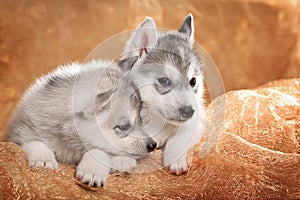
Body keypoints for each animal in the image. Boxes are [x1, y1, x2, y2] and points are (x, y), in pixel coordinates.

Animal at [6, 60, 157, 187]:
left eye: (140, 120)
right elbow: (34, 142)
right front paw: (43, 159)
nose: (152, 145)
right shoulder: (20, 131)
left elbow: (99, 151)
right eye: (124, 127)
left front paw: (93, 171)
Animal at [118, 14, 207, 174]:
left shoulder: (199, 120)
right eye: (164, 81)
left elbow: (183, 134)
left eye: (192, 81)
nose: (189, 112)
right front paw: (123, 158)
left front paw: (175, 157)